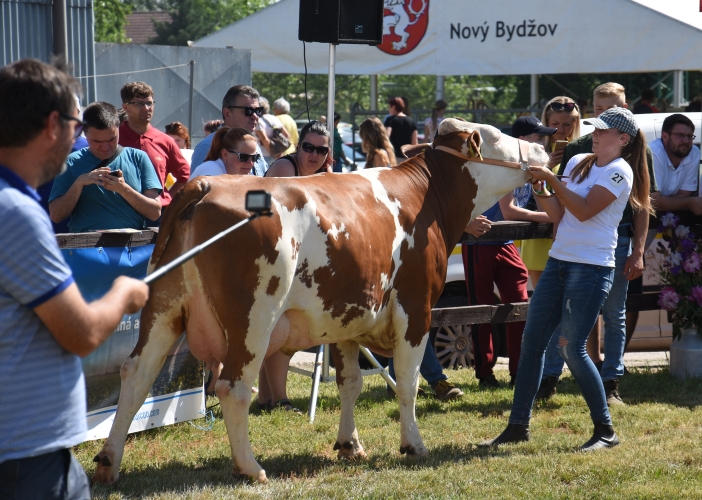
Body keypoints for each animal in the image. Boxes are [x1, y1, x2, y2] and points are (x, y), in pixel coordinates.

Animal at [92, 118, 552, 484]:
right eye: (498, 137)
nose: (542, 148)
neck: (426, 198)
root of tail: (205, 183)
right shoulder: (415, 309)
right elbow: (407, 383)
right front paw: (413, 445)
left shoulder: (347, 317)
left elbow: (351, 383)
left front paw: (350, 444)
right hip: (253, 319)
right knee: (233, 386)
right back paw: (251, 467)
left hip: (163, 308)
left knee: (135, 376)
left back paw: (108, 463)